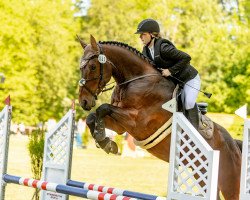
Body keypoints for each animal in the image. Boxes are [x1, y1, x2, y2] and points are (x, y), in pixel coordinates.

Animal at [77, 35, 242, 199]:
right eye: (80, 67)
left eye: (93, 67)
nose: (84, 101)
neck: (137, 80)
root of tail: (234, 144)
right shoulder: (120, 125)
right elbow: (93, 116)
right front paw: (105, 141)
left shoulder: (138, 122)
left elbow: (103, 108)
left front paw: (104, 140)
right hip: (201, 175)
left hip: (229, 182)